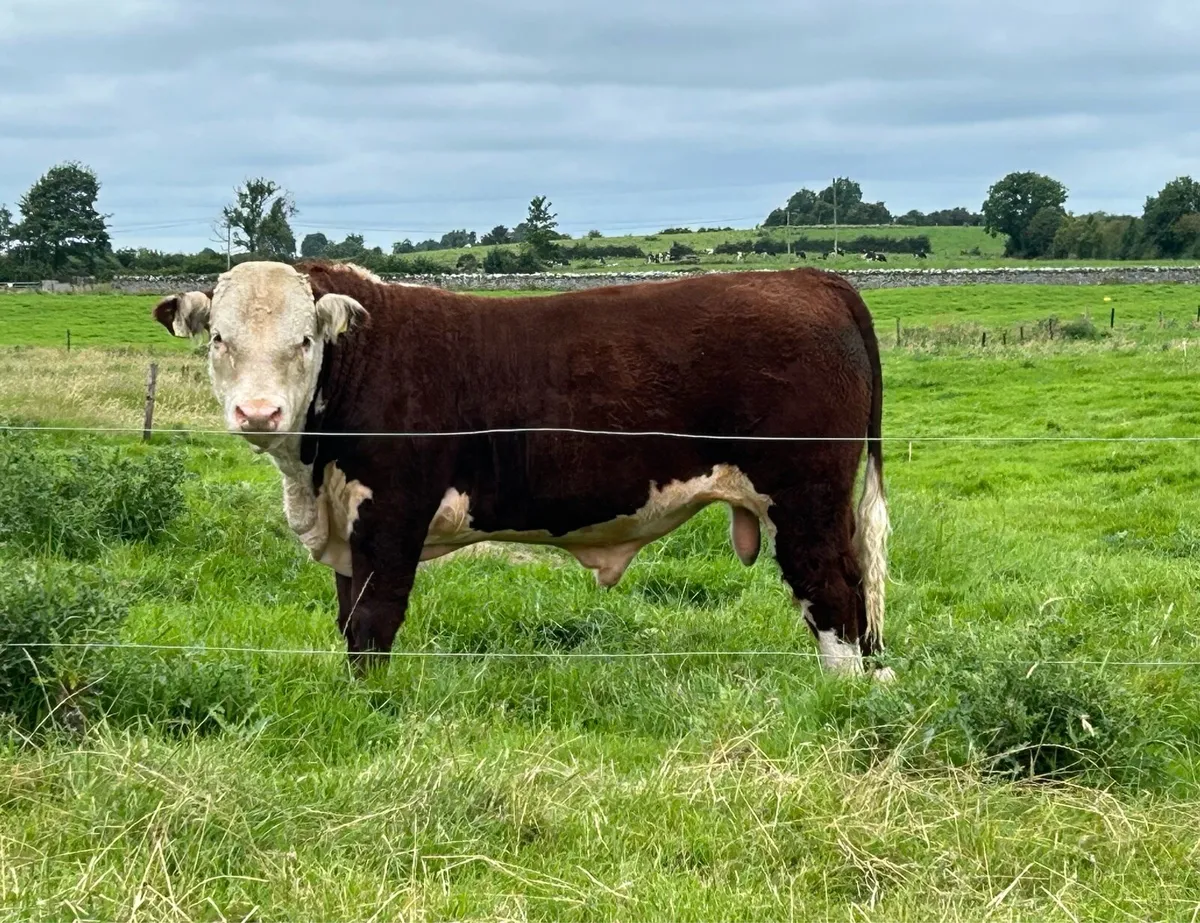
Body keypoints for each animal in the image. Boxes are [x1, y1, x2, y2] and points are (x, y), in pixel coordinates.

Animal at [152, 261, 891, 679]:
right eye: (219, 338)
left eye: (303, 340)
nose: (258, 412)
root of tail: (809, 279)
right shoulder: (349, 521)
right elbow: (348, 616)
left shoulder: (391, 512)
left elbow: (372, 621)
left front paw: (369, 704)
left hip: (805, 498)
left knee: (834, 595)